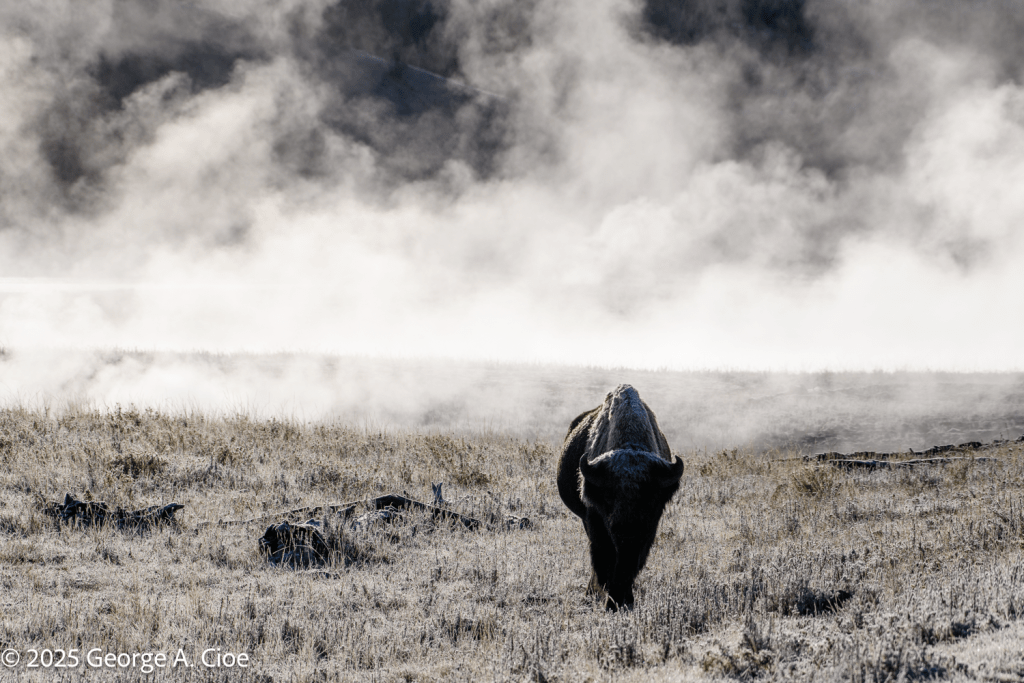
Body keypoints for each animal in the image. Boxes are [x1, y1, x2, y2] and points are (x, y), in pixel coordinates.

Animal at [557, 384, 684, 609]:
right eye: (609, 496)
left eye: (650, 497)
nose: (628, 529)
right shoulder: (596, 520)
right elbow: (605, 557)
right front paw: (612, 600)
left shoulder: (649, 528)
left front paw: (623, 600)